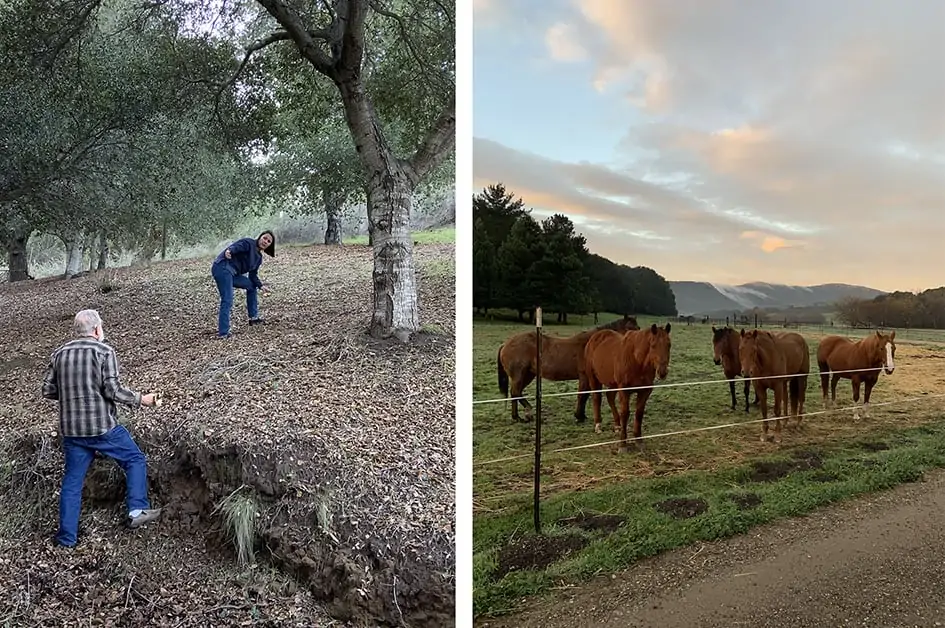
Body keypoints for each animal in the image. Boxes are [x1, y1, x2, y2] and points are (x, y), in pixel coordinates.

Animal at [494, 314, 640, 422]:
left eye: (638, 328)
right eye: (630, 328)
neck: (593, 344)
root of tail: (505, 344)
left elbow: (585, 395)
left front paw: (581, 415)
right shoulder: (585, 377)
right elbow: (582, 395)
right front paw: (579, 416)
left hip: (528, 375)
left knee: (515, 393)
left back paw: (517, 417)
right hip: (519, 375)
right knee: (516, 392)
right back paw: (527, 412)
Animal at [584, 324, 672, 452]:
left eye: (669, 344)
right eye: (653, 345)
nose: (662, 372)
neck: (637, 360)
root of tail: (595, 337)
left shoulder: (645, 391)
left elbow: (639, 413)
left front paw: (639, 440)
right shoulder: (624, 390)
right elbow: (625, 413)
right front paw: (623, 444)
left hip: (613, 383)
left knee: (609, 397)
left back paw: (617, 426)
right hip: (593, 378)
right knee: (596, 398)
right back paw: (598, 425)